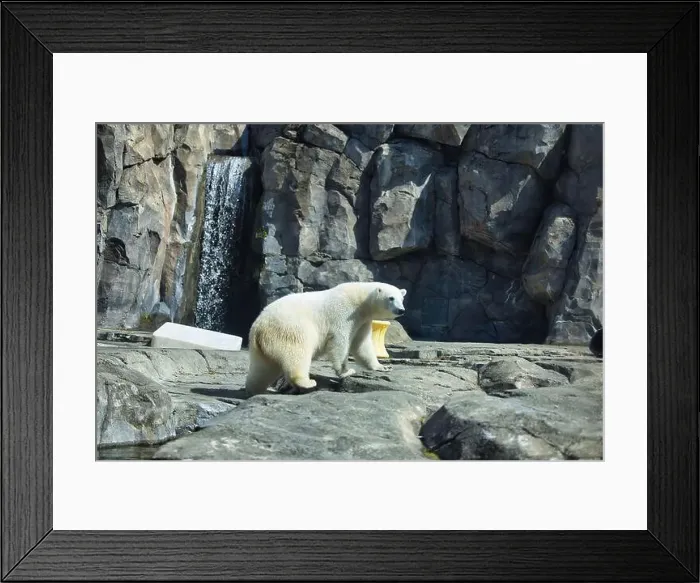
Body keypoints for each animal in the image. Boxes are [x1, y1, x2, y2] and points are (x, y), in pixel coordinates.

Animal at [244, 282, 407, 395]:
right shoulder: (344, 313)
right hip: (289, 330)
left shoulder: (363, 321)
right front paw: (346, 371)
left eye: (402, 298)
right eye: (391, 298)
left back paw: (255, 389)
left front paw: (382, 367)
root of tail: (259, 326)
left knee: (262, 369)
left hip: (261, 345)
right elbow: (340, 341)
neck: (360, 299)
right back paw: (307, 382)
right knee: (297, 354)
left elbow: (361, 345)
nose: (401, 310)